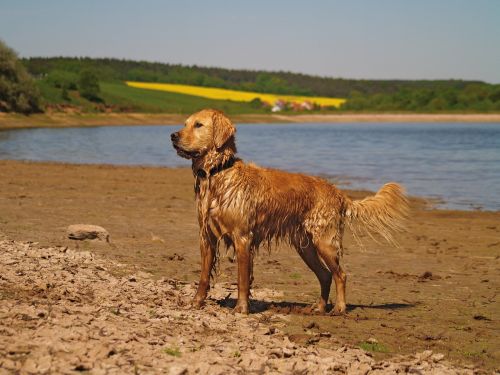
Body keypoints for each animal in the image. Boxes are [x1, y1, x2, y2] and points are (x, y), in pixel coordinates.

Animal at [170, 110, 408, 316]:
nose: (173, 135)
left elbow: (242, 279)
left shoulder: (243, 238)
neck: (218, 173)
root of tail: (338, 192)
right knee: (325, 275)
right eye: (185, 123)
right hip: (306, 247)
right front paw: (196, 302)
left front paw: (241, 308)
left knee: (340, 274)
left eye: (198, 125)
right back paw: (319, 307)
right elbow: (203, 276)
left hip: (325, 242)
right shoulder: (206, 236)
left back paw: (339, 308)